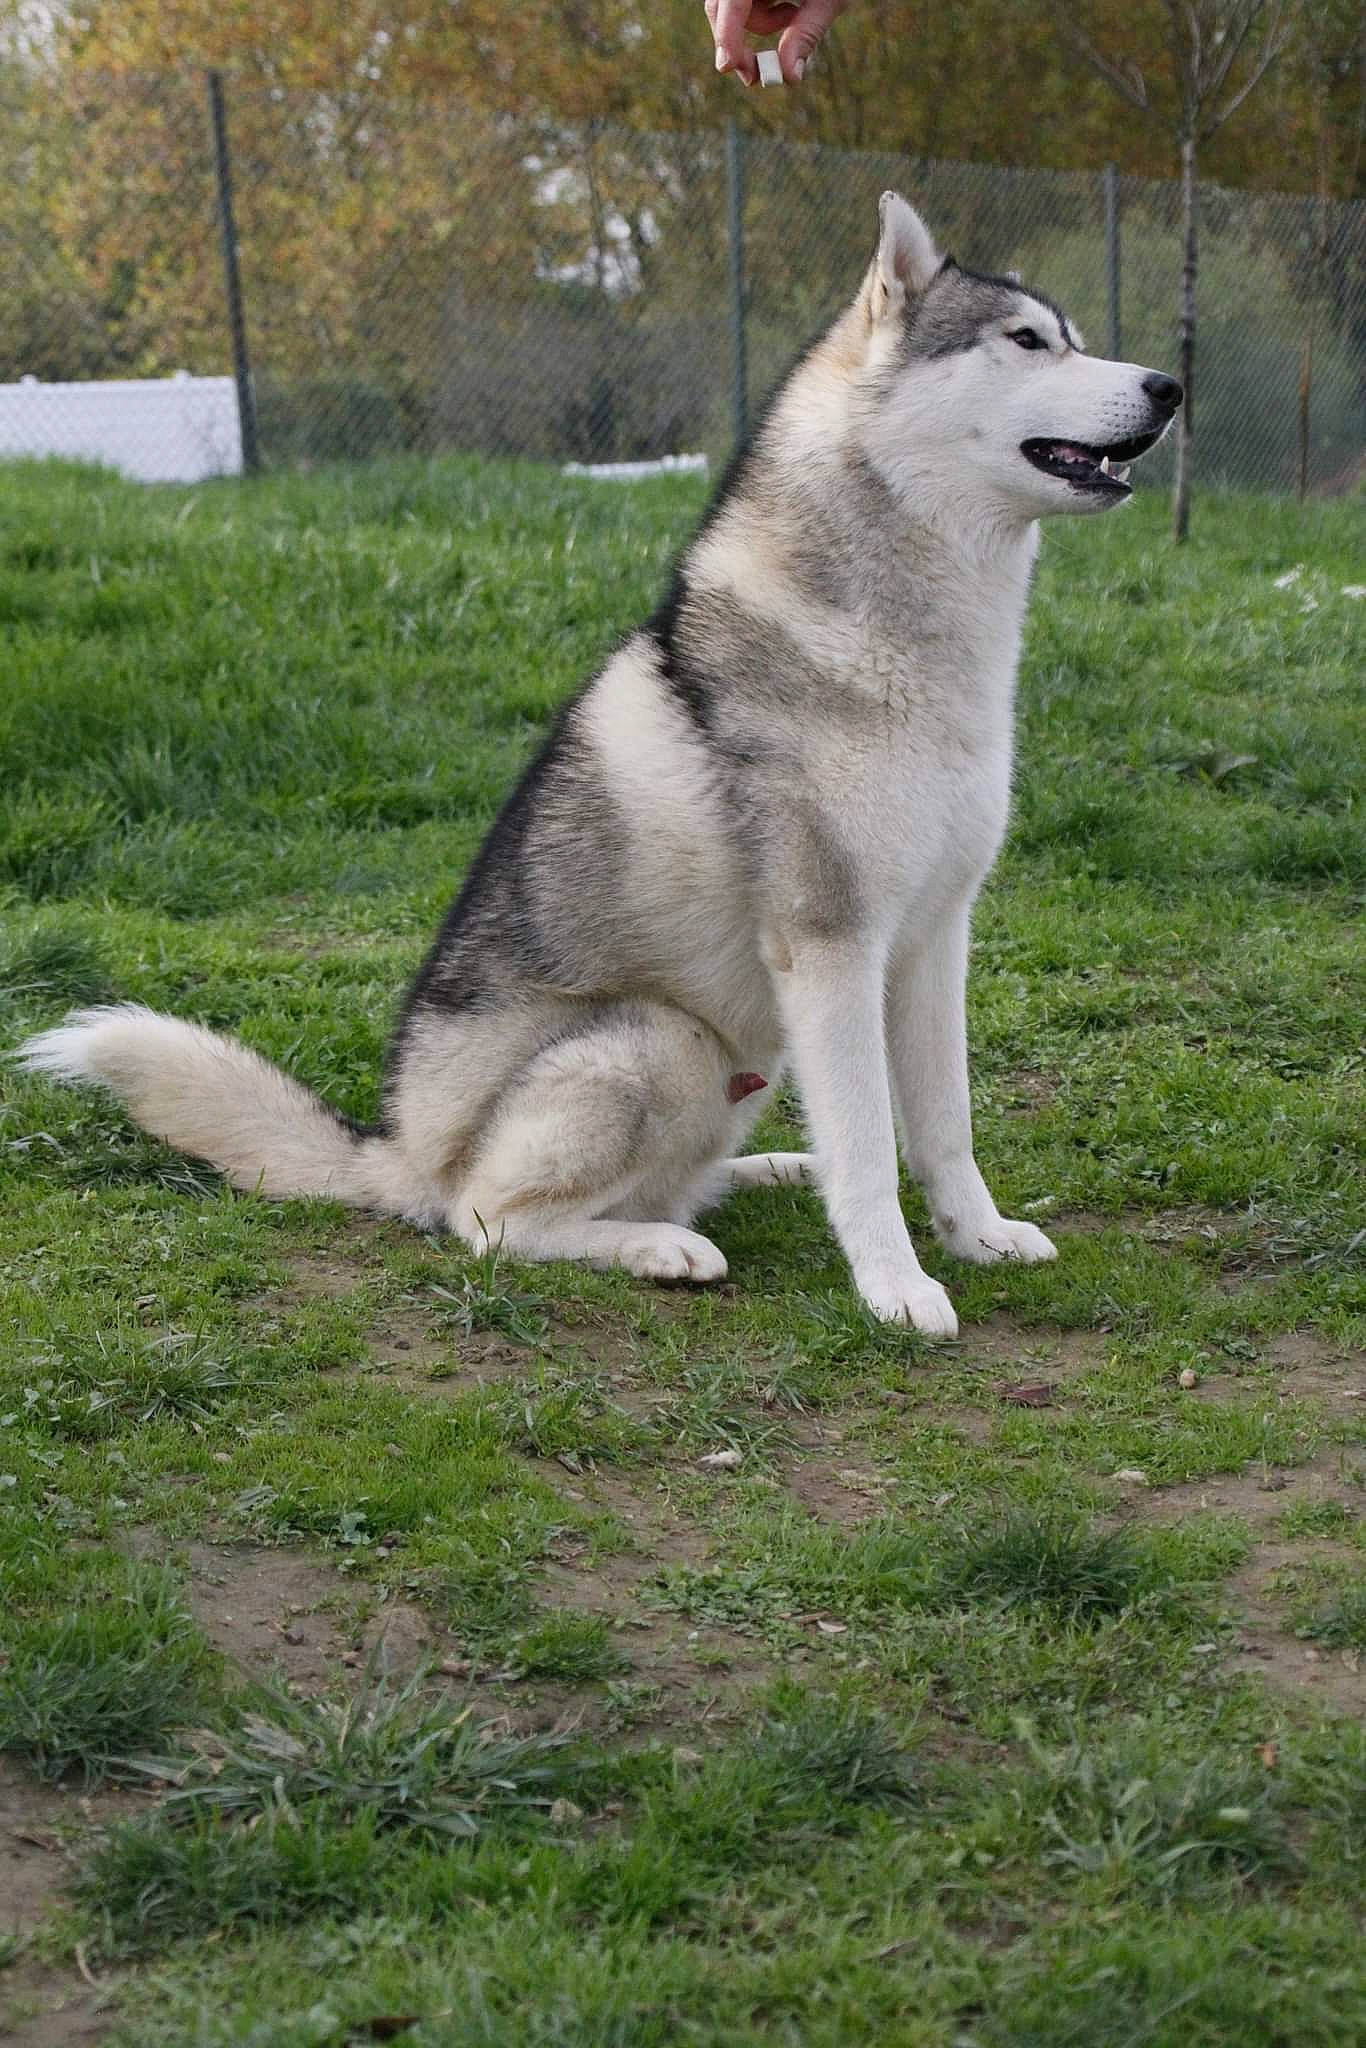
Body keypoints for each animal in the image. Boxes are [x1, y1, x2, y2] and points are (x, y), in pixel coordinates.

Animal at [19, 193, 1181, 1336]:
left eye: (1074, 337)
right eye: (1026, 341)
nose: (1169, 384)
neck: (914, 648)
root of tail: (397, 1153)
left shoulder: (935, 936)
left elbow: (942, 1124)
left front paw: (978, 1238)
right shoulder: (833, 945)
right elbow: (866, 1145)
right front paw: (895, 1286)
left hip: (742, 1061)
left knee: (669, 1179)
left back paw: (762, 1173)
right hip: (661, 1041)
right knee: (488, 1223)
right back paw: (660, 1246)